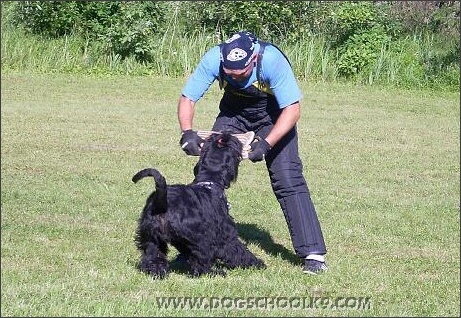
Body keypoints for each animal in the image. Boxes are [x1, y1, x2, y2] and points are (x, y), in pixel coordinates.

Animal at [131, 132, 264, 278]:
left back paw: (157, 272)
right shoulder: (226, 234)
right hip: (199, 239)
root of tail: (161, 202)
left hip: (151, 237)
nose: (225, 134)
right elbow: (237, 250)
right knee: (201, 262)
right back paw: (214, 272)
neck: (209, 180)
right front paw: (256, 263)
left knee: (153, 256)